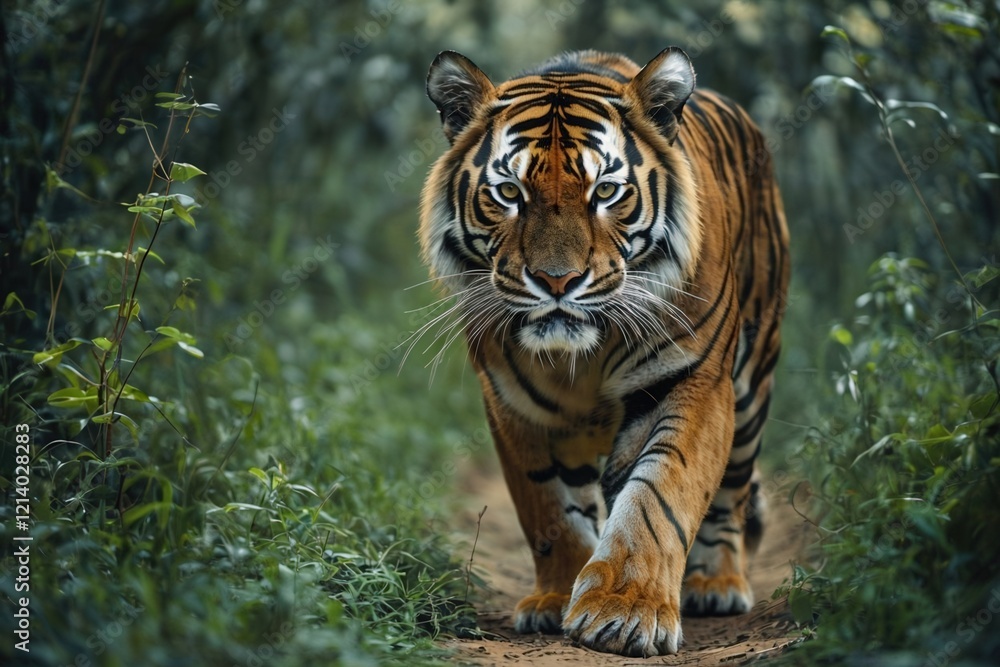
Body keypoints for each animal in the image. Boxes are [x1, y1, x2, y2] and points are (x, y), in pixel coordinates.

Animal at [418, 47, 789, 657]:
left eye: (606, 192)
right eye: (509, 194)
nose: (556, 280)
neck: (580, 358)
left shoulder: (690, 380)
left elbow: (658, 495)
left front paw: (625, 613)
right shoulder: (511, 403)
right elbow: (547, 507)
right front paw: (556, 597)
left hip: (753, 384)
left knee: (732, 491)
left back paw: (717, 583)